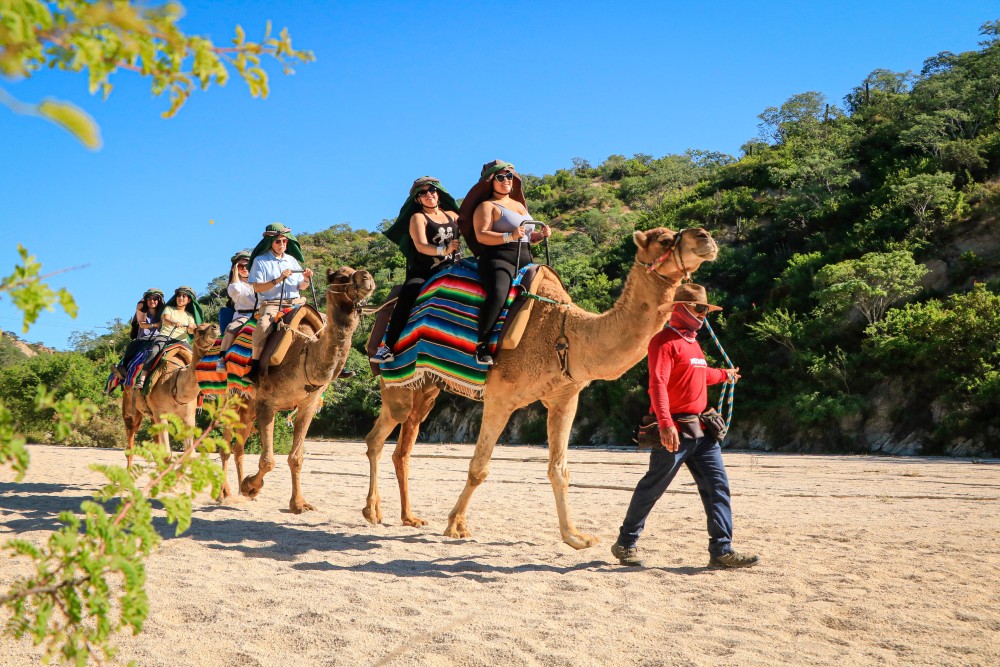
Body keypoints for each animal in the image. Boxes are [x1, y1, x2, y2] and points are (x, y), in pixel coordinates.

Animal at [122, 323, 220, 467]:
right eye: (199, 330)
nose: (215, 327)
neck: (175, 382)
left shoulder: (188, 416)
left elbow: (189, 455)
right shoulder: (161, 413)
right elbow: (167, 455)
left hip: (150, 413)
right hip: (129, 402)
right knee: (130, 433)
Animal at [219, 266, 375, 513]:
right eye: (341, 276)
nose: (367, 277)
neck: (304, 353)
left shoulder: (307, 405)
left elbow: (296, 458)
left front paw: (298, 503)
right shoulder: (267, 403)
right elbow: (268, 460)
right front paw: (251, 486)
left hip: (247, 408)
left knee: (238, 447)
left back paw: (241, 492)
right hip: (231, 400)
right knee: (226, 445)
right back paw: (224, 493)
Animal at [363, 227, 718, 549]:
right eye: (665, 239)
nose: (705, 237)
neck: (566, 333)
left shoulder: (564, 398)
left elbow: (559, 469)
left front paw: (576, 537)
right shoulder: (501, 397)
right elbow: (479, 467)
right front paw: (456, 527)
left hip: (426, 387)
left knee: (403, 445)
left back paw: (409, 517)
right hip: (396, 381)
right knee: (377, 438)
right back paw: (372, 512)